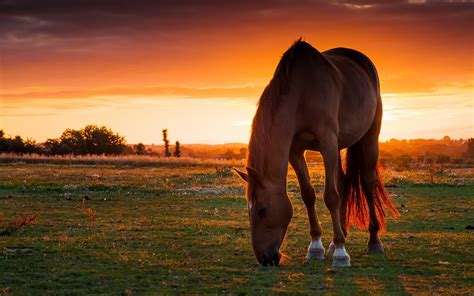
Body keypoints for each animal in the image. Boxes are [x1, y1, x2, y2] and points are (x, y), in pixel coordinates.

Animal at [235, 38, 398, 268]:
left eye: (262, 210)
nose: (264, 258)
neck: (302, 92)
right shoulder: (295, 150)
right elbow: (308, 194)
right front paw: (316, 247)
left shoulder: (327, 143)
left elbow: (331, 196)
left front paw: (341, 253)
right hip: (339, 146)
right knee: (343, 183)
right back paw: (337, 238)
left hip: (368, 139)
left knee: (368, 183)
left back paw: (373, 241)